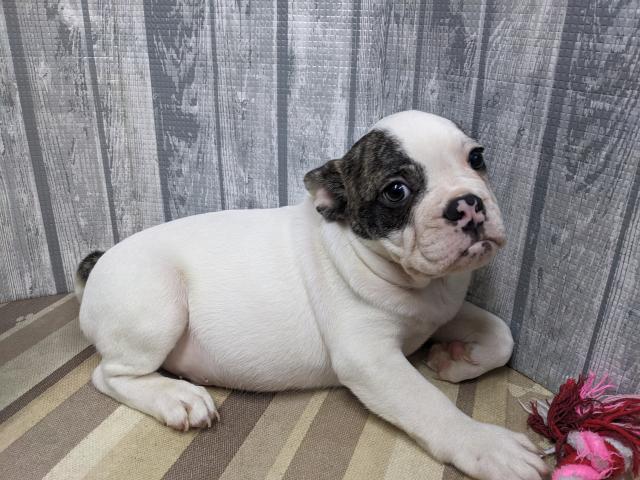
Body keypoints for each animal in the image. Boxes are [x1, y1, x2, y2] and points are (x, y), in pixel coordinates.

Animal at [76, 110, 548, 480]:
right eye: (396, 191)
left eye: (477, 158)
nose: (467, 203)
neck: (420, 283)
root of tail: (101, 262)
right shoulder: (371, 359)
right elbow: (430, 405)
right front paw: (488, 446)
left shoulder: (441, 313)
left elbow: (502, 336)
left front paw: (456, 360)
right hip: (156, 303)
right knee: (110, 375)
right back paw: (175, 398)